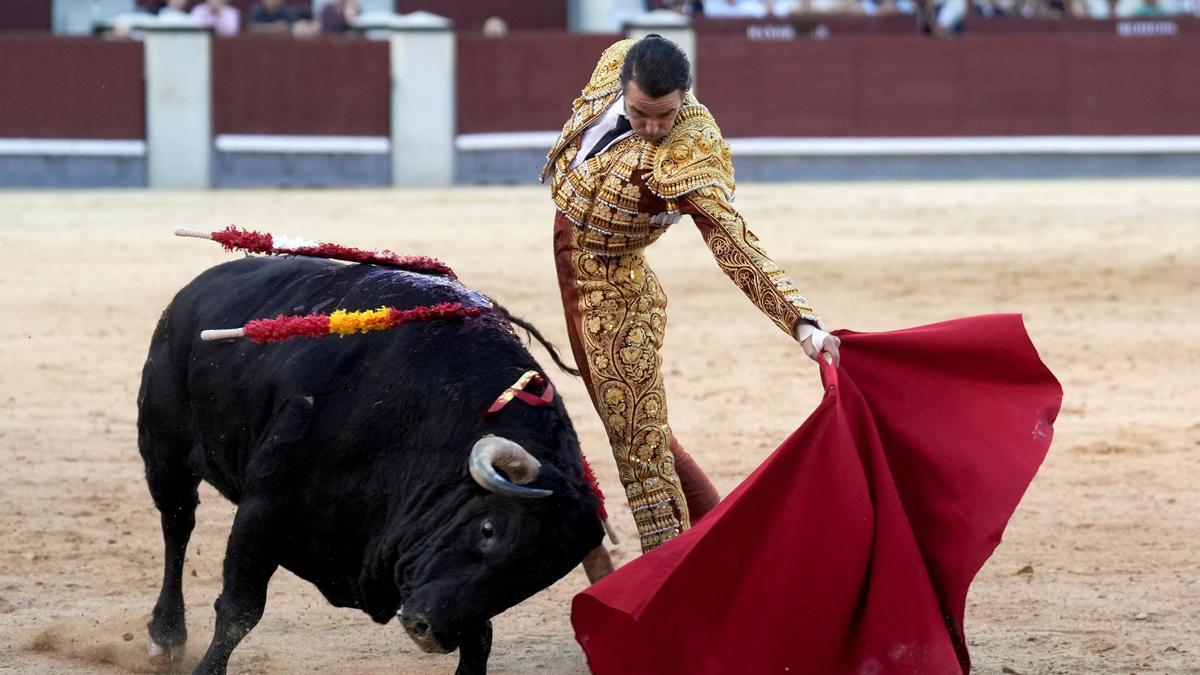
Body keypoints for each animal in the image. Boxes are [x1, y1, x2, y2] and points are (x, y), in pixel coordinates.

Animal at [139, 253, 604, 672]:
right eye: (488, 529)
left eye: (534, 577)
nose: (427, 629)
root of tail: (193, 292)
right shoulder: (266, 505)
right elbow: (240, 609)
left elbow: (480, 637)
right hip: (164, 454)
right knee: (177, 524)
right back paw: (166, 637)